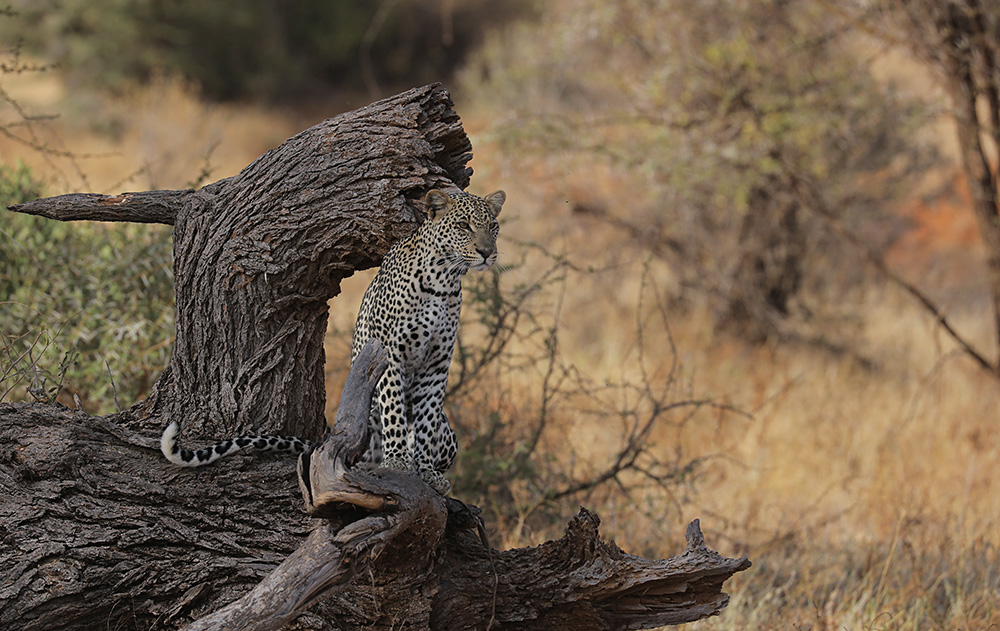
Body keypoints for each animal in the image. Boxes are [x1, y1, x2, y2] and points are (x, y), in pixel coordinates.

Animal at [164, 189, 508, 498]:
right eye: (463, 225)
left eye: (493, 226)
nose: (487, 252)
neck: (443, 281)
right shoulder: (390, 353)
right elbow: (395, 411)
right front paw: (398, 461)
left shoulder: (437, 364)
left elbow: (426, 419)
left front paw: (426, 471)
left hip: (448, 432)